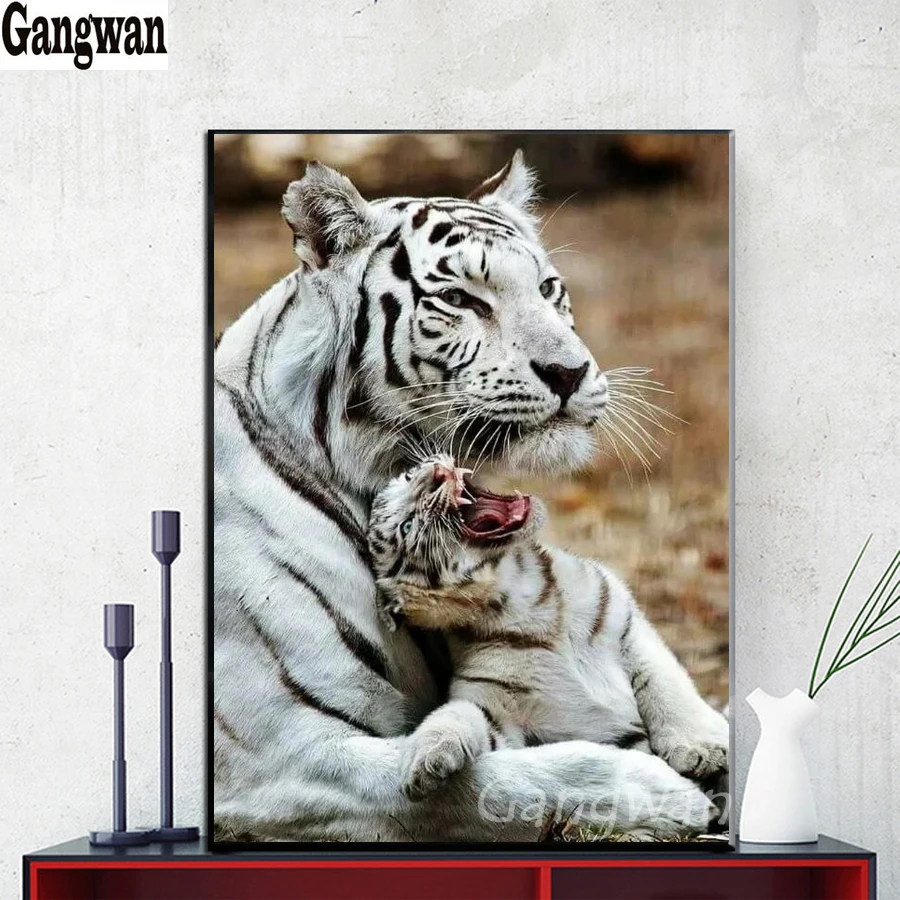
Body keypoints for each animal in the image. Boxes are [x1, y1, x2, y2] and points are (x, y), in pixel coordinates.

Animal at [368, 455, 728, 811]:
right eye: (407, 526)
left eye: (410, 475)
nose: (437, 472)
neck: (521, 591)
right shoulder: (499, 714)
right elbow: (457, 714)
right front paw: (424, 759)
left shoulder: (630, 630)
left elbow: (669, 688)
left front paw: (702, 751)